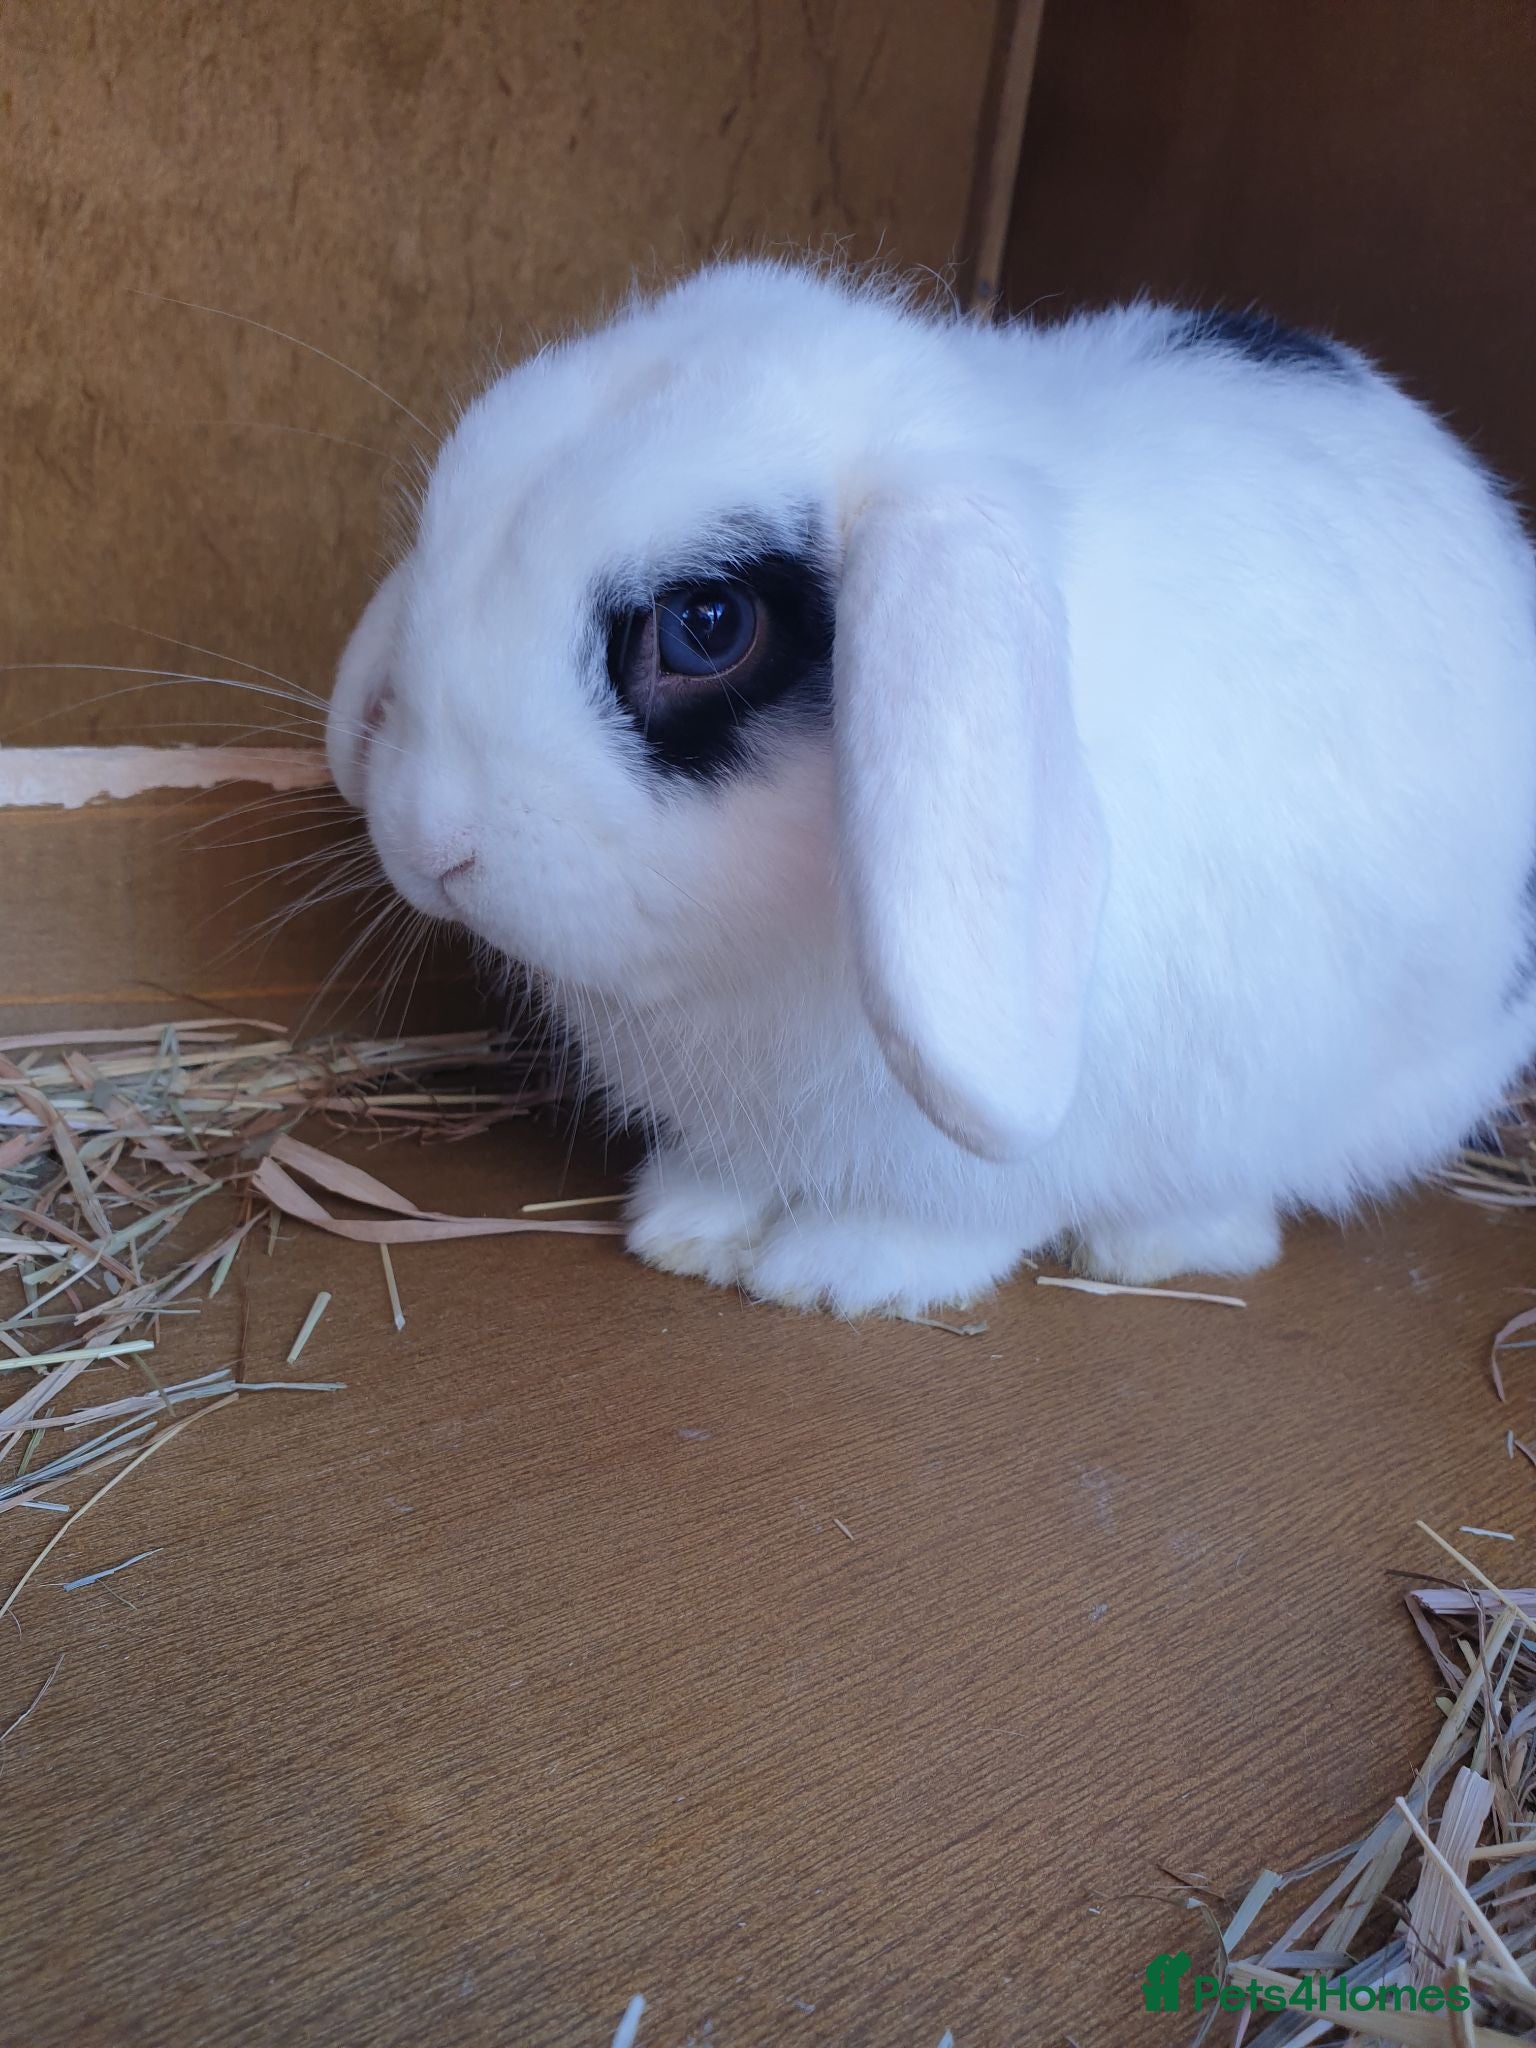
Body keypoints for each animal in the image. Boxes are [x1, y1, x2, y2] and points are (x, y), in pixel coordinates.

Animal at [327, 259, 1536, 1318]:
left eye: (707, 626)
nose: (427, 841)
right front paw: (688, 1226)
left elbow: (961, 1216)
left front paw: (838, 1272)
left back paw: (1152, 1244)